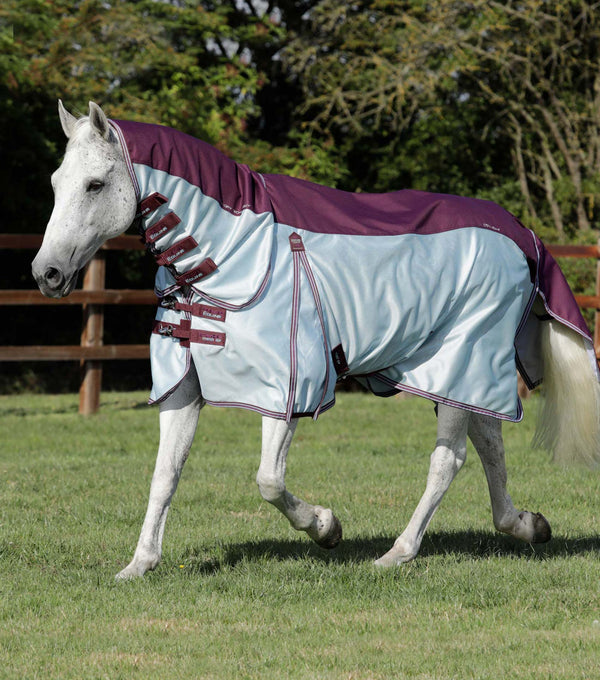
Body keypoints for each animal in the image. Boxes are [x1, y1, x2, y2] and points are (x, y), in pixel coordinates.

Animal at [32, 101, 600, 579]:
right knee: (488, 442)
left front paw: (327, 528)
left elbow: (268, 480)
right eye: (56, 182)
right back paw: (525, 525)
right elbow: (164, 474)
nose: (47, 273)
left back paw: (397, 553)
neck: (231, 252)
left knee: (449, 461)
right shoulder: (183, 387)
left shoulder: (285, 387)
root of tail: (518, 233)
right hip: (463, 372)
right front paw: (140, 564)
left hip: (462, 358)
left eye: (95, 185)